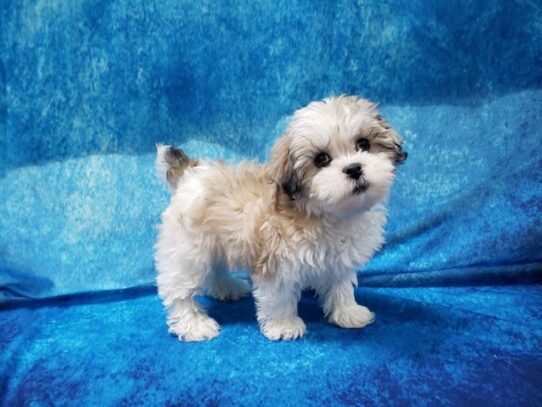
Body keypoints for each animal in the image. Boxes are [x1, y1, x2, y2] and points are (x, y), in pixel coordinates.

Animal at [155, 95, 406, 342]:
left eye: (363, 144)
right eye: (321, 159)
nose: (354, 168)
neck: (324, 213)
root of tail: (190, 173)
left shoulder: (338, 260)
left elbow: (341, 285)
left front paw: (348, 312)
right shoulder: (276, 261)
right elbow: (279, 297)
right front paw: (284, 325)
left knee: (216, 268)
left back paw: (227, 288)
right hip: (189, 249)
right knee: (178, 289)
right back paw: (193, 324)